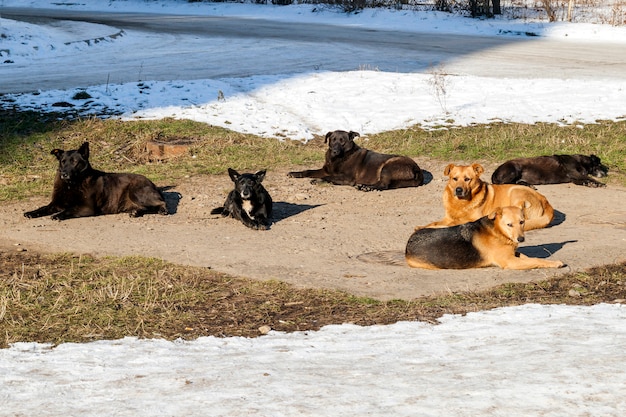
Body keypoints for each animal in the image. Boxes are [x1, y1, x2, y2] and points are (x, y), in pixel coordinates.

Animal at [24, 142, 167, 221]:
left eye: (74, 162)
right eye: (63, 161)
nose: (64, 174)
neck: (72, 184)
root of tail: (152, 183)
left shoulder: (86, 208)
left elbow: (69, 209)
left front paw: (58, 215)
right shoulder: (56, 204)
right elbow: (42, 208)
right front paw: (31, 212)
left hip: (136, 193)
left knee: (160, 203)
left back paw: (162, 210)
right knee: (146, 207)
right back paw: (135, 212)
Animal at [286, 129, 422, 191]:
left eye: (342, 141)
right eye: (333, 140)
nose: (334, 151)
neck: (340, 158)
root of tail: (417, 169)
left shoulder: (347, 178)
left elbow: (329, 177)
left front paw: (318, 180)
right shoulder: (325, 170)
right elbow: (308, 171)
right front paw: (295, 173)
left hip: (388, 166)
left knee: (384, 185)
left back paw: (367, 187)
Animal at [408, 205, 564, 270]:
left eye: (522, 222)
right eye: (509, 224)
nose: (521, 239)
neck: (498, 232)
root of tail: (408, 245)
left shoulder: (513, 255)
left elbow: (529, 257)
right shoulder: (509, 262)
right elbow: (535, 260)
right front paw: (555, 263)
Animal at [424, 163, 552, 231]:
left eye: (467, 179)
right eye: (454, 178)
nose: (458, 190)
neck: (460, 203)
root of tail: (545, 200)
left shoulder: (470, 219)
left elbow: (447, 224)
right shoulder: (448, 218)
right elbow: (433, 223)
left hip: (515, 192)